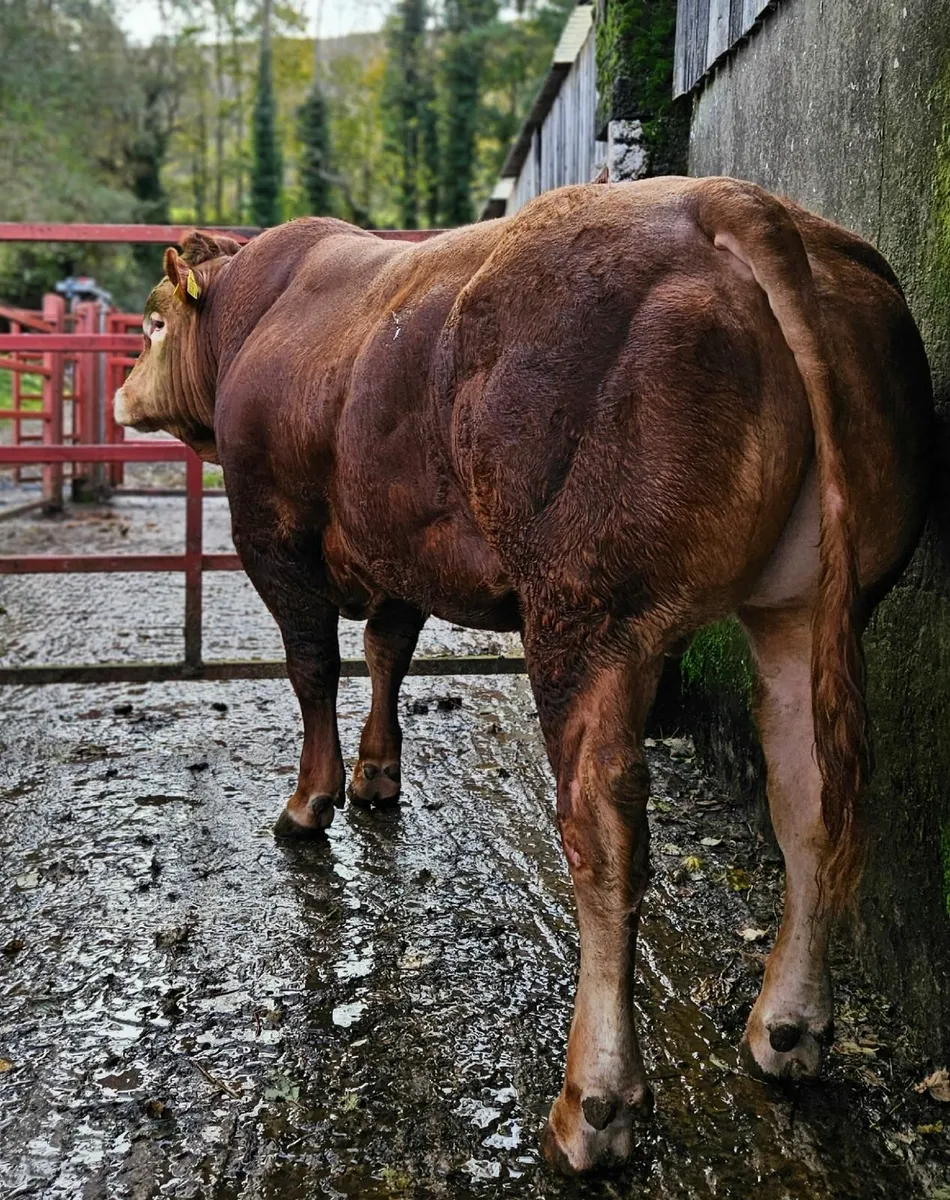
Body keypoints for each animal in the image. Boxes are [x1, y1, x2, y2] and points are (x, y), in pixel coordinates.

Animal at [113, 177, 934, 1174]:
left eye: (152, 322)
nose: (120, 396)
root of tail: (735, 201)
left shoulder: (272, 536)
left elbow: (314, 669)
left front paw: (312, 802)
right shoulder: (402, 543)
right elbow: (388, 648)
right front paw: (378, 776)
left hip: (585, 609)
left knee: (604, 831)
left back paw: (593, 1105)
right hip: (808, 608)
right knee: (809, 800)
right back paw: (787, 1029)